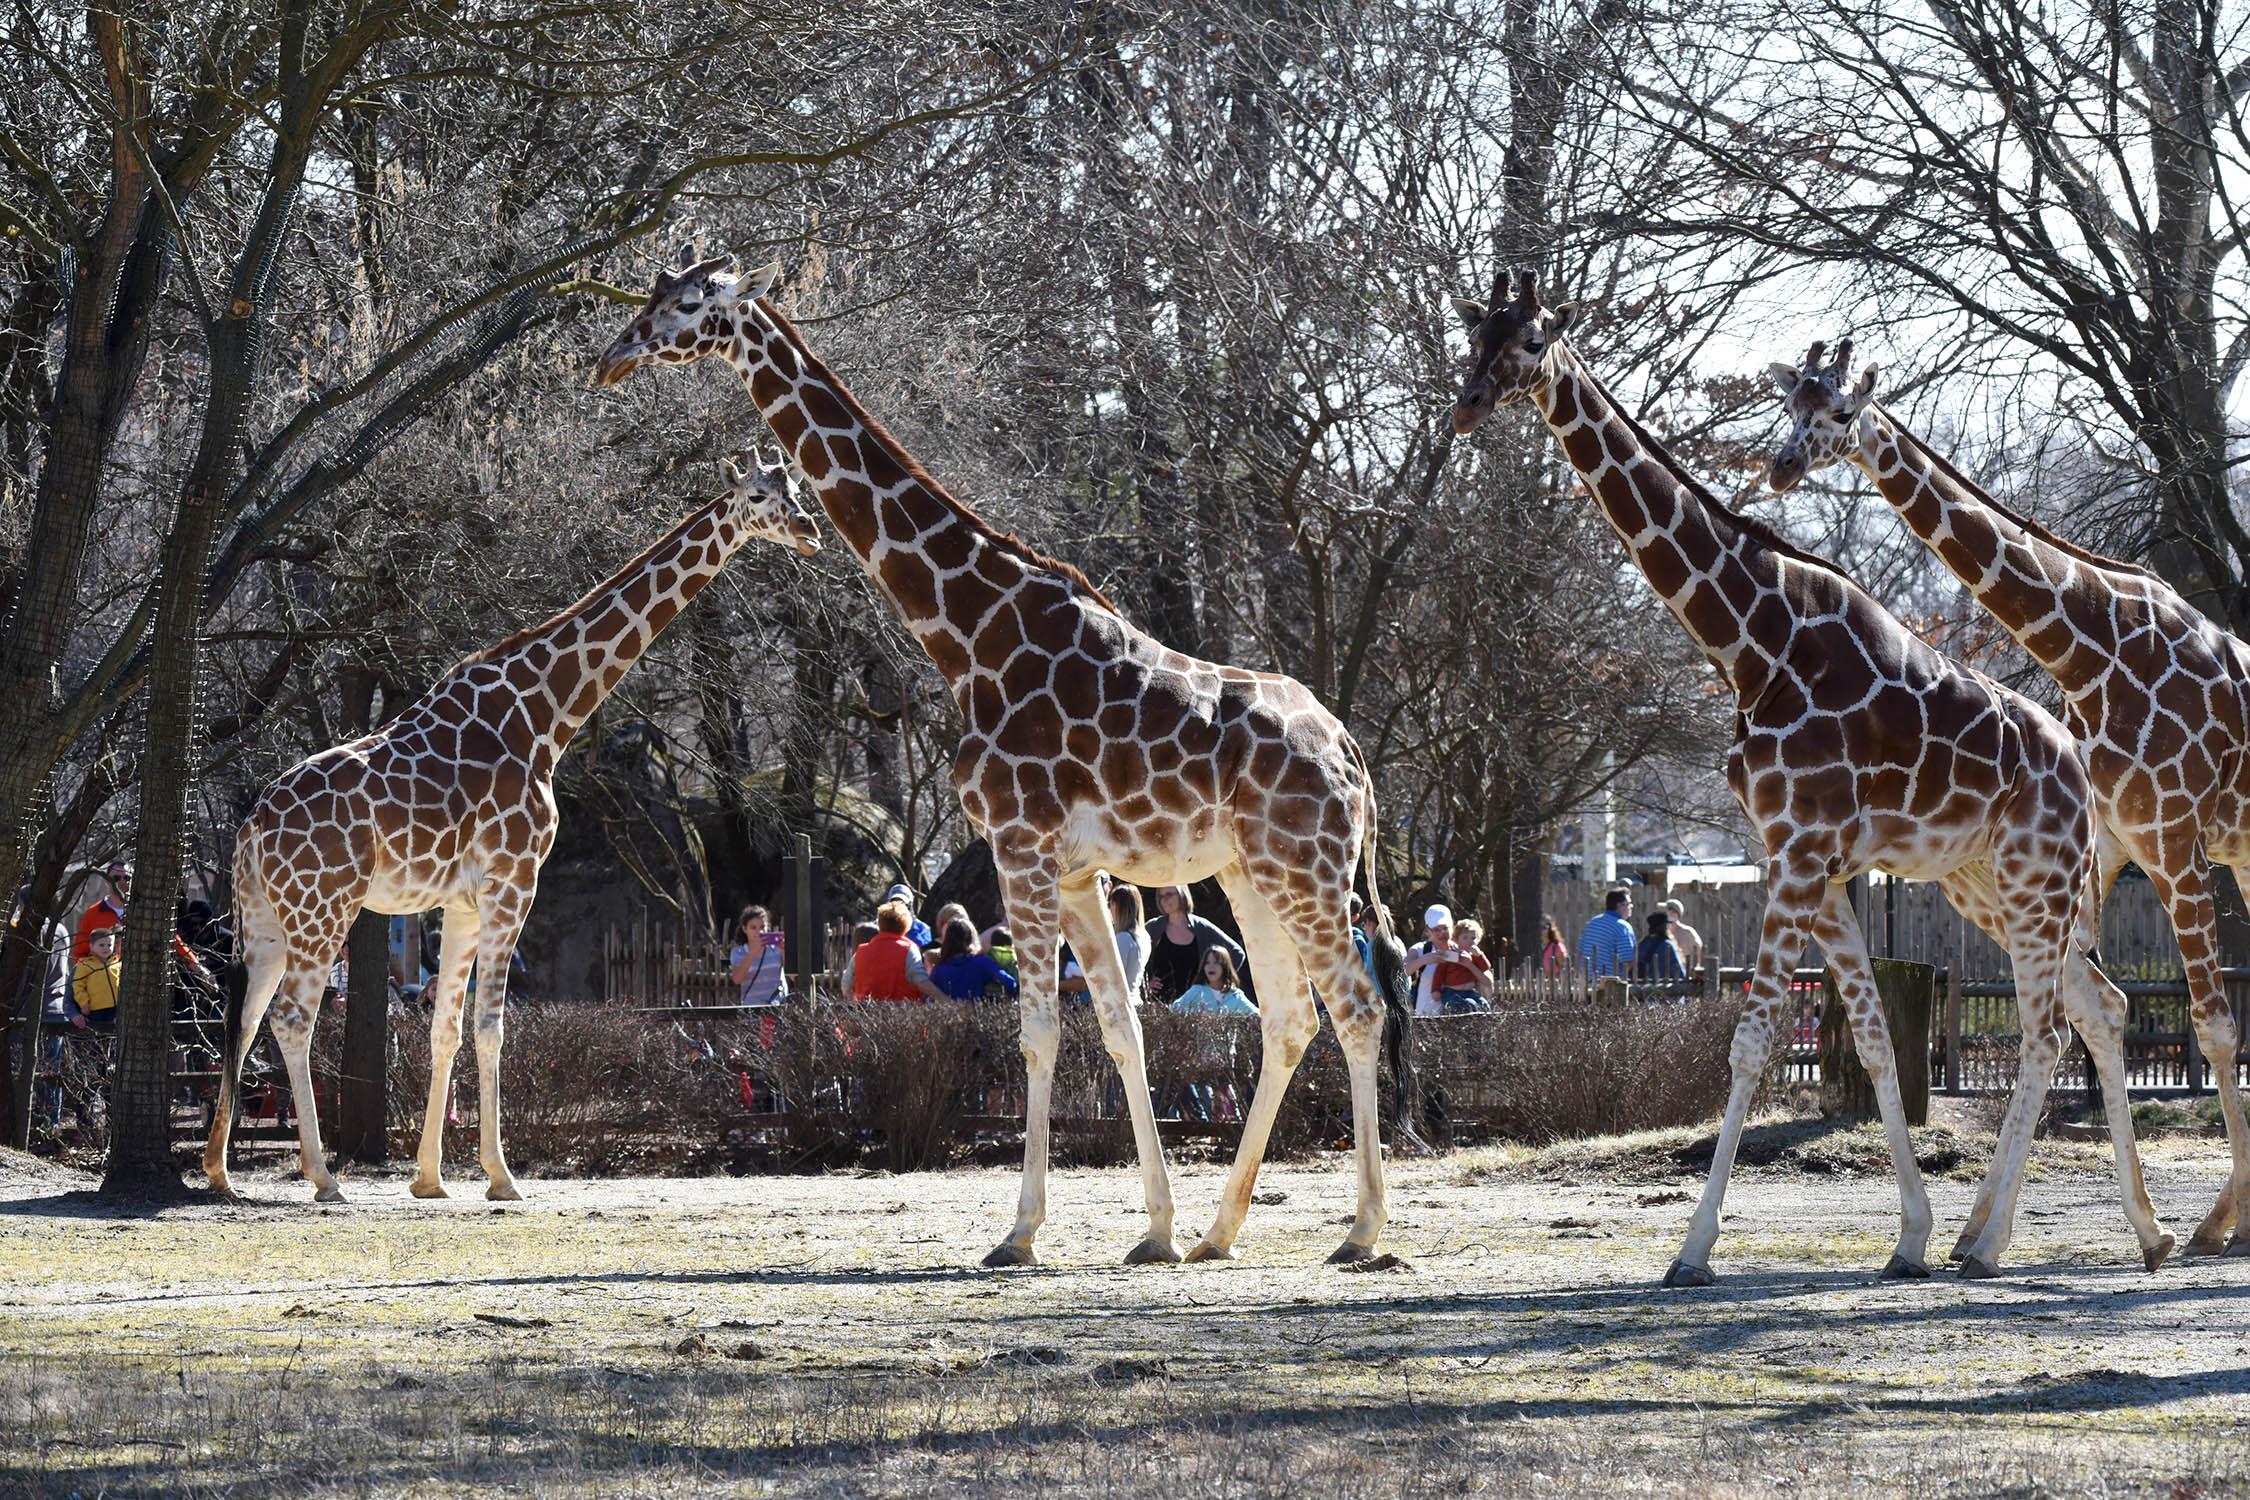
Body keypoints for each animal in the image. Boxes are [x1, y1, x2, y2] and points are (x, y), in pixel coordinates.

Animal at [204, 452, 828, 1205]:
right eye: (761, 495)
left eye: (798, 487)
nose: (811, 532)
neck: (546, 715)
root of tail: (252, 826)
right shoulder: (513, 881)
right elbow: (493, 1027)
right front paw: (502, 1176)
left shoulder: (461, 902)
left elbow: (445, 1029)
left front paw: (430, 1179)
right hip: (324, 909)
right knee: (292, 1021)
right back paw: (324, 1177)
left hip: (269, 918)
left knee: (244, 1017)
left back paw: (218, 1170)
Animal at [598, 258, 1404, 1268]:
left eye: (687, 306)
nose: (610, 359)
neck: (971, 634)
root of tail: (1352, 755)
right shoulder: (1074, 870)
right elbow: (1122, 1031)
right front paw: (1156, 1230)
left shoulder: (1022, 845)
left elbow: (1039, 1032)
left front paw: (1019, 1233)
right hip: (1251, 874)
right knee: (1295, 1015)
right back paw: (1220, 1232)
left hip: (1306, 868)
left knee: (1359, 1007)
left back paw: (1362, 1231)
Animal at [1458, 269, 2160, 1277]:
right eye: (1475, 335)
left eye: (1529, 343)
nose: (1469, 403)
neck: (1751, 644)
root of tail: (2076, 765)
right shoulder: (1813, 864)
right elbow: (1869, 1038)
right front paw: (1910, 1234)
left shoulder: (1797, 856)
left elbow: (1752, 1042)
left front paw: (1693, 1248)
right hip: (1992, 886)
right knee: (2097, 1007)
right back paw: (2137, 1232)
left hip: (2037, 881)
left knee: (2046, 1030)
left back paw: (1995, 1245)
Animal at [1764, 339, 2241, 1259]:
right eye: (1788, 407)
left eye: (1839, 411)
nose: (1781, 466)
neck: (2092, 651)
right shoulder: (2113, 845)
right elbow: (2090, 1013)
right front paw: (1983, 1228)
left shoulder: (2174, 837)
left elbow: (2208, 1024)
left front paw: (2212, 1222)